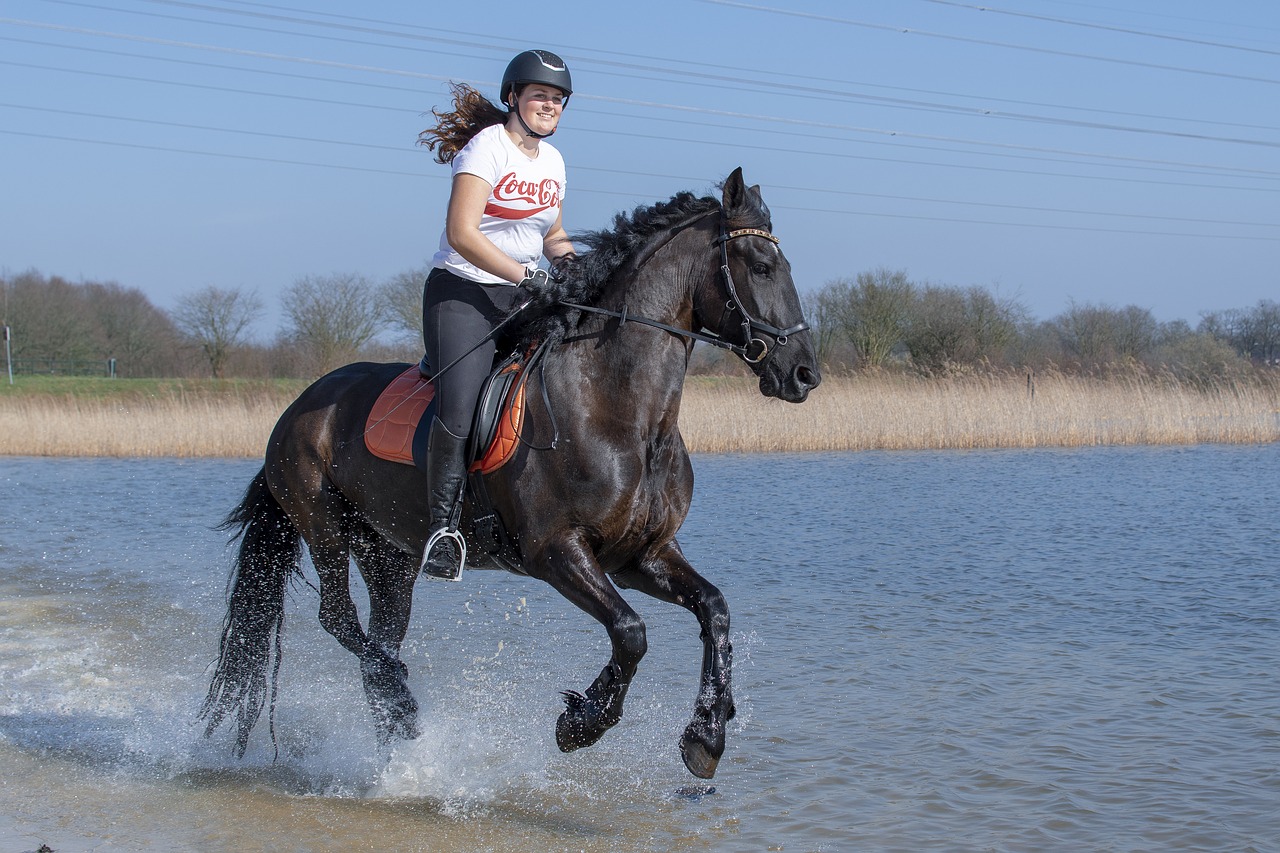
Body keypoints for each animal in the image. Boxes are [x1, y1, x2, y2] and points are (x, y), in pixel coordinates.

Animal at [199, 167, 819, 778]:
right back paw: (404, 700)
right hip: (323, 526)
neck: (621, 412)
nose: (804, 373)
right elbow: (631, 633)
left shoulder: (641, 555)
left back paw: (402, 734)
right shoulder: (556, 550)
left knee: (380, 641)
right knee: (340, 620)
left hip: (388, 554)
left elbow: (715, 609)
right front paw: (581, 724)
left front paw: (706, 735)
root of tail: (297, 407)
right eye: (761, 267)